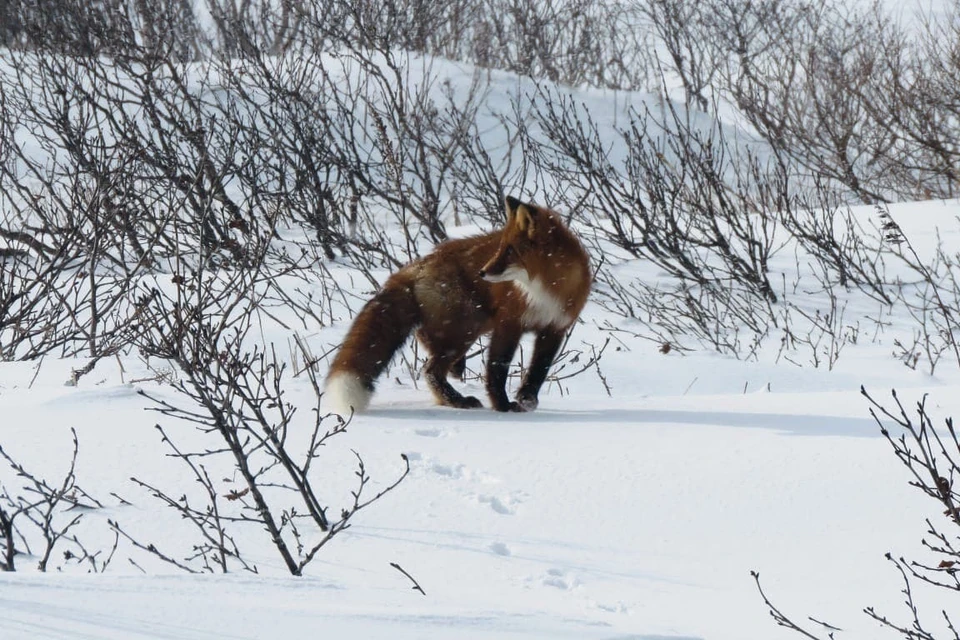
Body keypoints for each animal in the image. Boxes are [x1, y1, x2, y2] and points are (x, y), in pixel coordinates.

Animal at [326, 196, 588, 416]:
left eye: (510, 251)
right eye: (500, 248)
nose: (482, 272)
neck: (545, 290)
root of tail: (415, 265)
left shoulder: (555, 329)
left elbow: (539, 370)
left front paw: (527, 399)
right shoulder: (508, 324)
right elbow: (497, 369)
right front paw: (502, 407)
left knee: (431, 358)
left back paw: (452, 391)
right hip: (470, 325)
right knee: (431, 370)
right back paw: (457, 400)